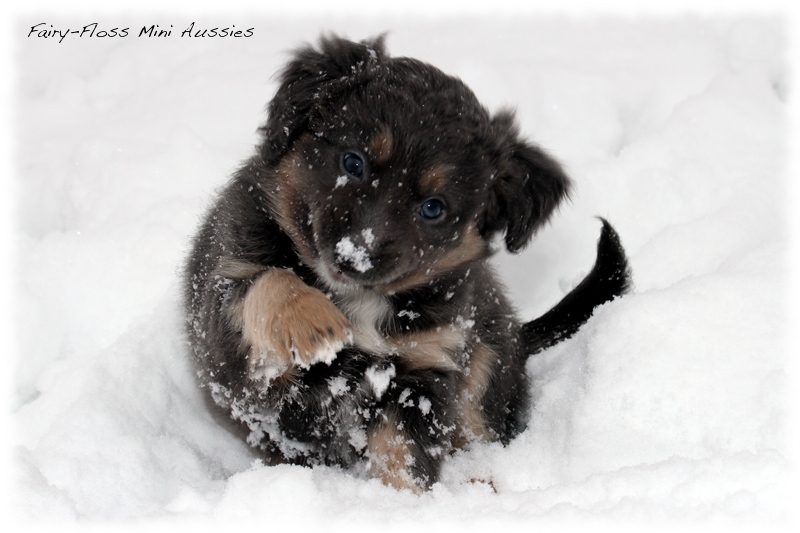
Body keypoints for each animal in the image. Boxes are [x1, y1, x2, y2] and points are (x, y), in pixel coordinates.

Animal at [184, 33, 628, 490]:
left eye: (433, 208)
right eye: (353, 162)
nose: (356, 257)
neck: (359, 300)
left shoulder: (422, 371)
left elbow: (403, 458)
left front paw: (401, 501)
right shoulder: (238, 339)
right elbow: (267, 280)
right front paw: (310, 322)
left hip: (486, 358)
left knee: (478, 429)